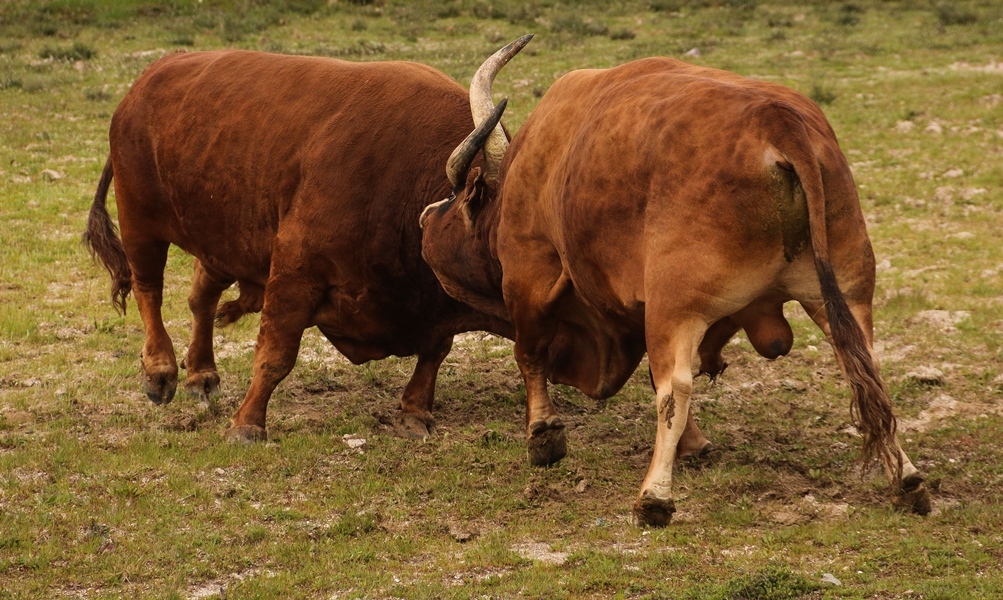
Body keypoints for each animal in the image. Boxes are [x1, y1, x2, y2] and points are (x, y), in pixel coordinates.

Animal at [84, 47, 525, 441]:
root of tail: (150, 76)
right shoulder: (295, 270)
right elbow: (275, 354)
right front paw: (247, 425)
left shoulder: (435, 304)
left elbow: (435, 351)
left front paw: (414, 414)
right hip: (140, 222)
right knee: (149, 289)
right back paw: (160, 372)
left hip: (222, 240)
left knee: (201, 297)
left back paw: (202, 374)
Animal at [423, 48, 930, 525]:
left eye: (456, 199)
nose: (426, 216)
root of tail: (778, 119)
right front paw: (696, 445)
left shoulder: (530, 273)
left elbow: (531, 359)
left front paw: (543, 435)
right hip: (844, 294)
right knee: (866, 372)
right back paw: (906, 481)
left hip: (676, 307)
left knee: (675, 389)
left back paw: (654, 498)